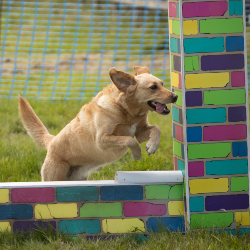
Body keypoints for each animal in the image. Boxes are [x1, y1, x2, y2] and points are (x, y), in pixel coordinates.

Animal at [19, 67, 178, 182]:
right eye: (153, 87)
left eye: (162, 84)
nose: (175, 96)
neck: (126, 110)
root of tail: (51, 141)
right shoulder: (102, 140)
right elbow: (129, 140)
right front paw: (137, 155)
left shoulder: (140, 131)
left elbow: (156, 129)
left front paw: (152, 146)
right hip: (53, 177)